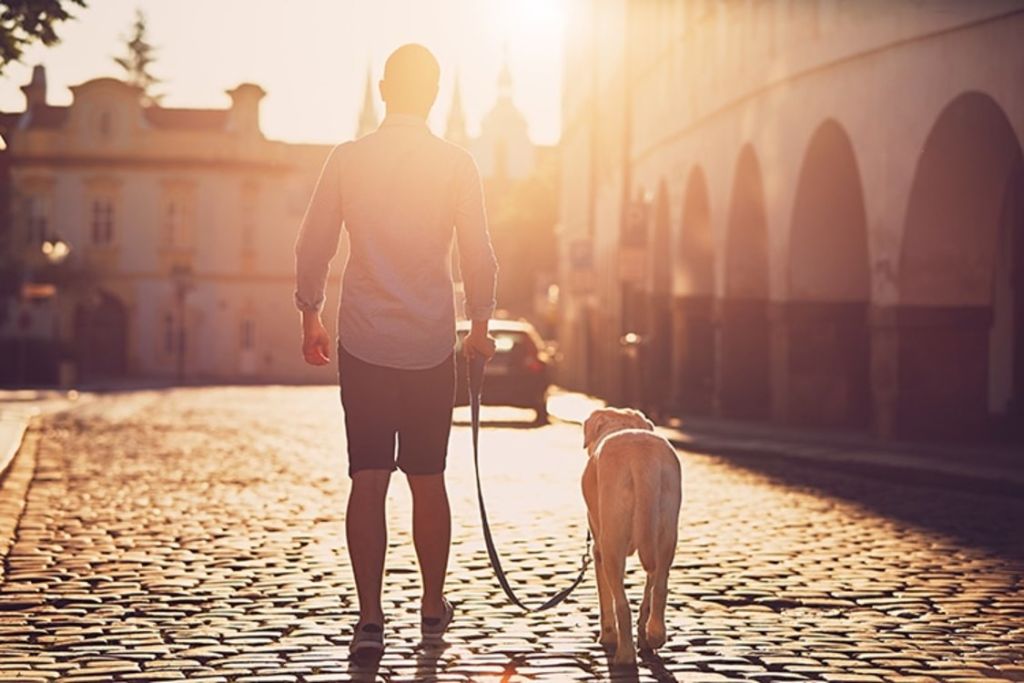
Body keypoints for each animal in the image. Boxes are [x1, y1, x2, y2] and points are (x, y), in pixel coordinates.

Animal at [585, 409, 679, 663]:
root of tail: (640, 457)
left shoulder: (597, 551)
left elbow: (605, 599)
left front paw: (607, 636)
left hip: (611, 544)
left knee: (621, 604)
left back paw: (624, 655)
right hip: (666, 533)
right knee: (658, 586)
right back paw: (654, 635)